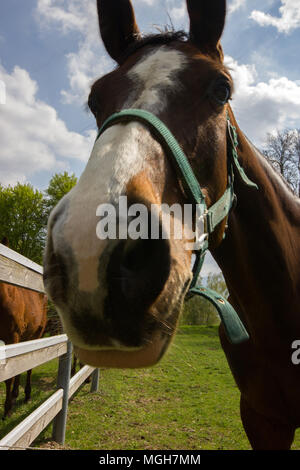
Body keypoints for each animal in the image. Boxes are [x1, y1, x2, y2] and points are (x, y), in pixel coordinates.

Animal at [0, 239, 47, 418]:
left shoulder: (11, 336)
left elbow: (9, 376)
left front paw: (7, 410)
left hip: (36, 334)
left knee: (28, 367)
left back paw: (26, 395)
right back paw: (15, 394)